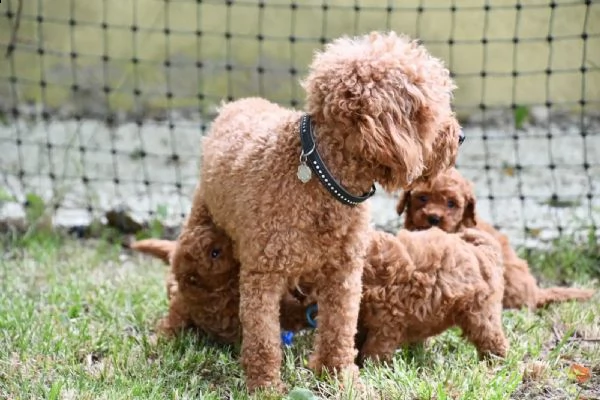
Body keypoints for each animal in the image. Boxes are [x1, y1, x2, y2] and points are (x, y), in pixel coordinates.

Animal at [190, 30, 462, 390]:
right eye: (428, 111)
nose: (461, 136)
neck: (321, 178)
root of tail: (236, 104)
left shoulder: (344, 272)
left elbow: (339, 328)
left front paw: (340, 377)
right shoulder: (264, 274)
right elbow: (263, 338)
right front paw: (266, 388)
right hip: (203, 216)